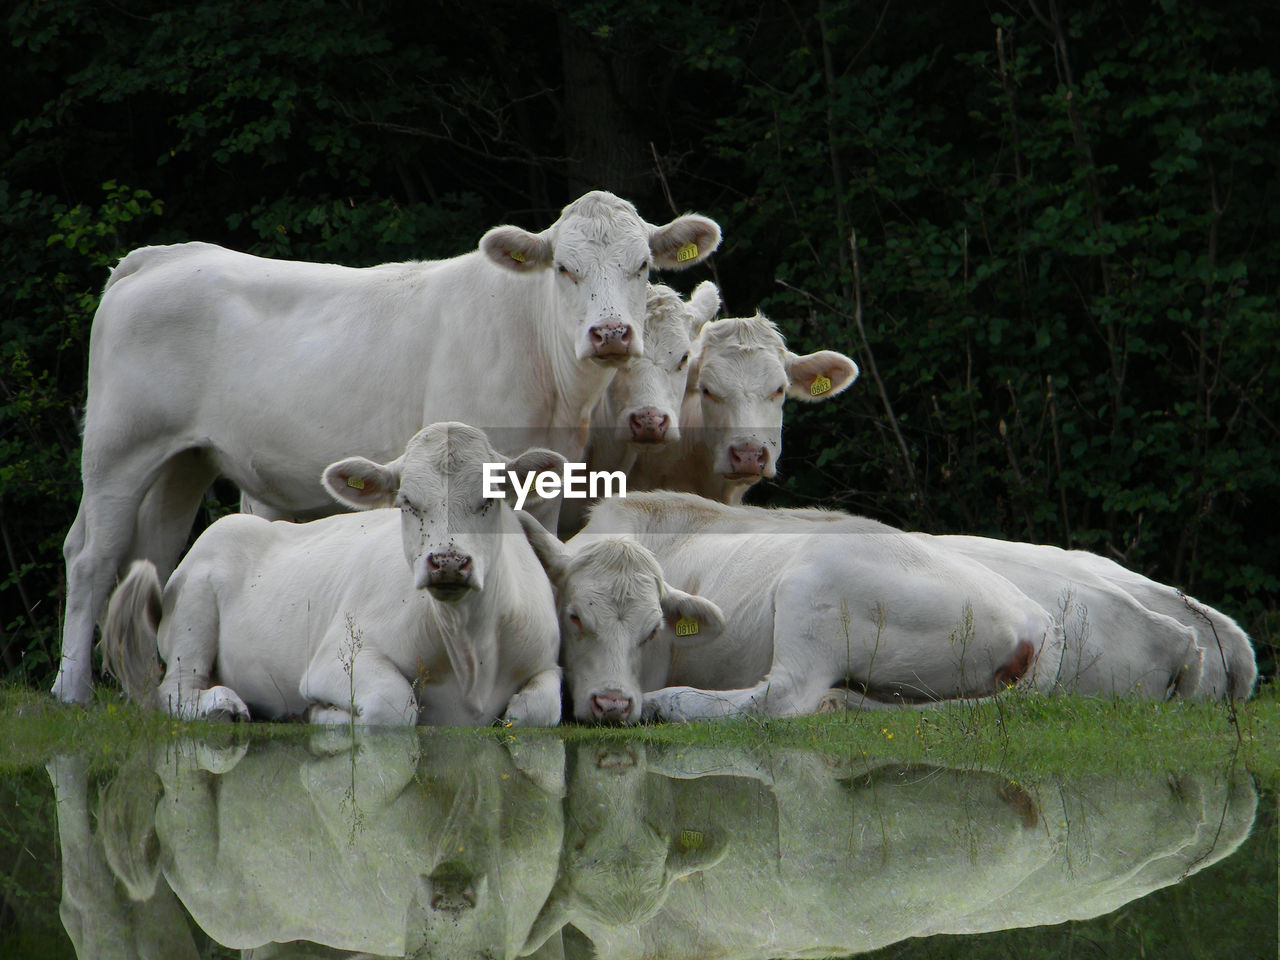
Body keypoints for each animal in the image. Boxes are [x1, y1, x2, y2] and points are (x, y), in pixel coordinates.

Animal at [104, 424, 570, 727]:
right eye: (406, 501)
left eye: (491, 498)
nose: (449, 562)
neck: (469, 652)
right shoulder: (335, 659)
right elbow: (393, 705)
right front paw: (322, 713)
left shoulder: (546, 661)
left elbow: (537, 712)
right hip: (193, 611)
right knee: (175, 690)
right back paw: (224, 706)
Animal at [524, 491, 1054, 727]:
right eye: (574, 616)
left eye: (654, 630)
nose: (613, 704)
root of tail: (1036, 618)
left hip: (810, 590)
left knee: (781, 696)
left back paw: (670, 702)